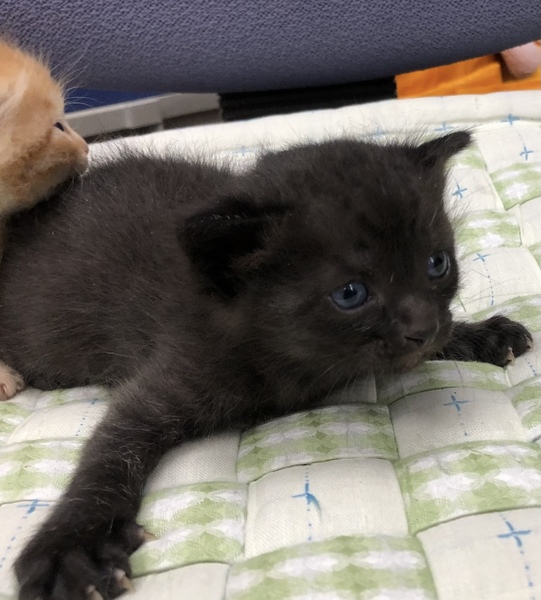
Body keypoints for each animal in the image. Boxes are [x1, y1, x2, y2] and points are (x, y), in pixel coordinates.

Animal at [0, 132, 531, 600]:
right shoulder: (164, 379)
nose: (424, 327)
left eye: (437, 264)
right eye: (351, 293)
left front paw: (481, 333)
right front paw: (71, 548)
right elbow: (108, 453)